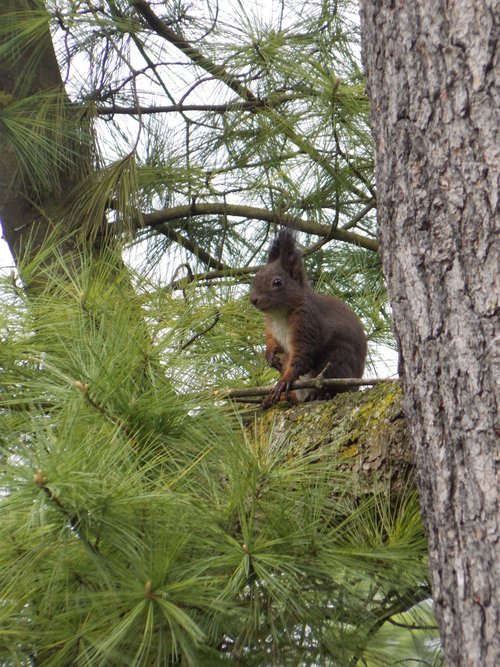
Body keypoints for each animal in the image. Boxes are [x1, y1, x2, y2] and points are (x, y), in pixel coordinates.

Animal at [250, 228, 368, 408]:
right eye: (256, 277)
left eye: (277, 282)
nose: (253, 300)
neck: (279, 314)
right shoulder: (270, 326)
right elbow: (272, 341)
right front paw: (269, 355)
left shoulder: (307, 323)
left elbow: (303, 357)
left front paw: (284, 381)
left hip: (337, 359)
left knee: (334, 385)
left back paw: (319, 394)